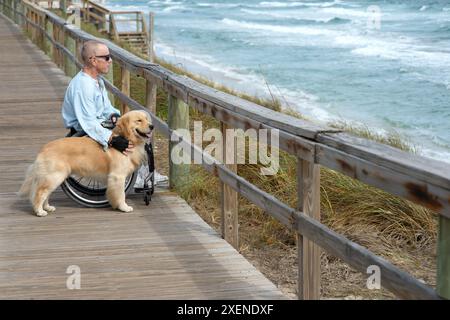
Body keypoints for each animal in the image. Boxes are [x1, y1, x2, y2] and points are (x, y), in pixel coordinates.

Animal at [18, 110, 153, 218]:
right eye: (139, 120)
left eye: (146, 119)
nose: (152, 126)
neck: (126, 139)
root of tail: (44, 148)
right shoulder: (117, 176)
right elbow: (121, 194)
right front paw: (123, 207)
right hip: (55, 176)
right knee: (40, 193)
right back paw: (39, 211)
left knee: (46, 193)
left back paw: (47, 207)